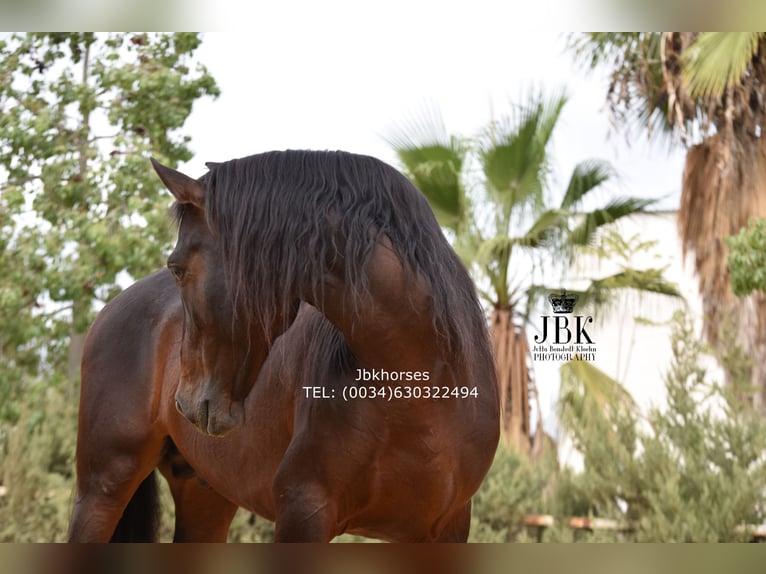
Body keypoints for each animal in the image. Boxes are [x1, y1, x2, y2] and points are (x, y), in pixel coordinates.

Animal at [67, 150, 504, 544]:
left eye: (177, 267)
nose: (186, 402)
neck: (419, 387)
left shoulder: (446, 530)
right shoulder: (303, 510)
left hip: (204, 498)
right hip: (104, 487)